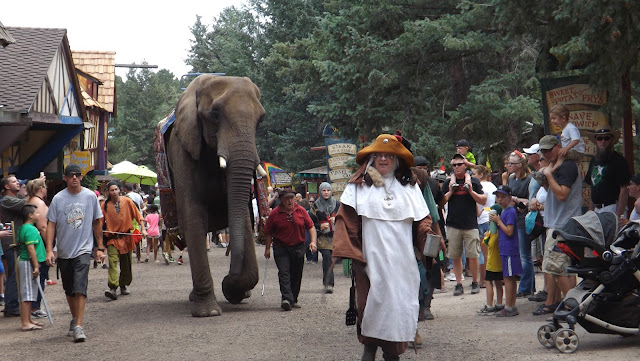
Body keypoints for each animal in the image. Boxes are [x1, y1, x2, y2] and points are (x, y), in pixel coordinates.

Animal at [166, 74, 266, 316]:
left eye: (261, 120)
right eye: (215, 115)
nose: (228, 278)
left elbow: (242, 215)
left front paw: (234, 290)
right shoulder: (182, 149)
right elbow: (193, 212)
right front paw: (208, 312)